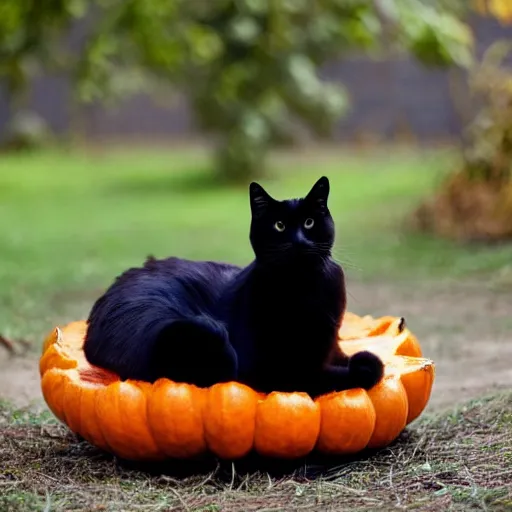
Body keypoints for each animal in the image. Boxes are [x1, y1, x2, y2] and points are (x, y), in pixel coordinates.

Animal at [84, 176, 382, 396]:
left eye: (309, 223)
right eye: (279, 225)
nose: (299, 241)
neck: (305, 288)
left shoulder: (330, 345)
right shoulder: (281, 371)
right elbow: (359, 370)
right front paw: (364, 365)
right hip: (200, 333)